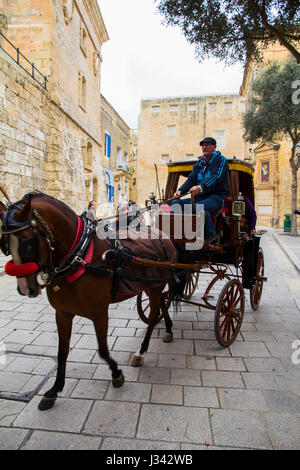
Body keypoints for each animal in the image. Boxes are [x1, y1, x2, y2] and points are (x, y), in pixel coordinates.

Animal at [0, 191, 176, 412]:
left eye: (27, 244)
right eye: (5, 246)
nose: (26, 288)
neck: (79, 257)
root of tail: (164, 236)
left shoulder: (99, 312)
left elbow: (102, 349)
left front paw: (116, 374)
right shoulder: (62, 313)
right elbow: (62, 352)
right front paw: (54, 390)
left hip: (155, 286)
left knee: (152, 316)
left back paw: (142, 351)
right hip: (152, 285)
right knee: (162, 303)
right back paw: (168, 328)